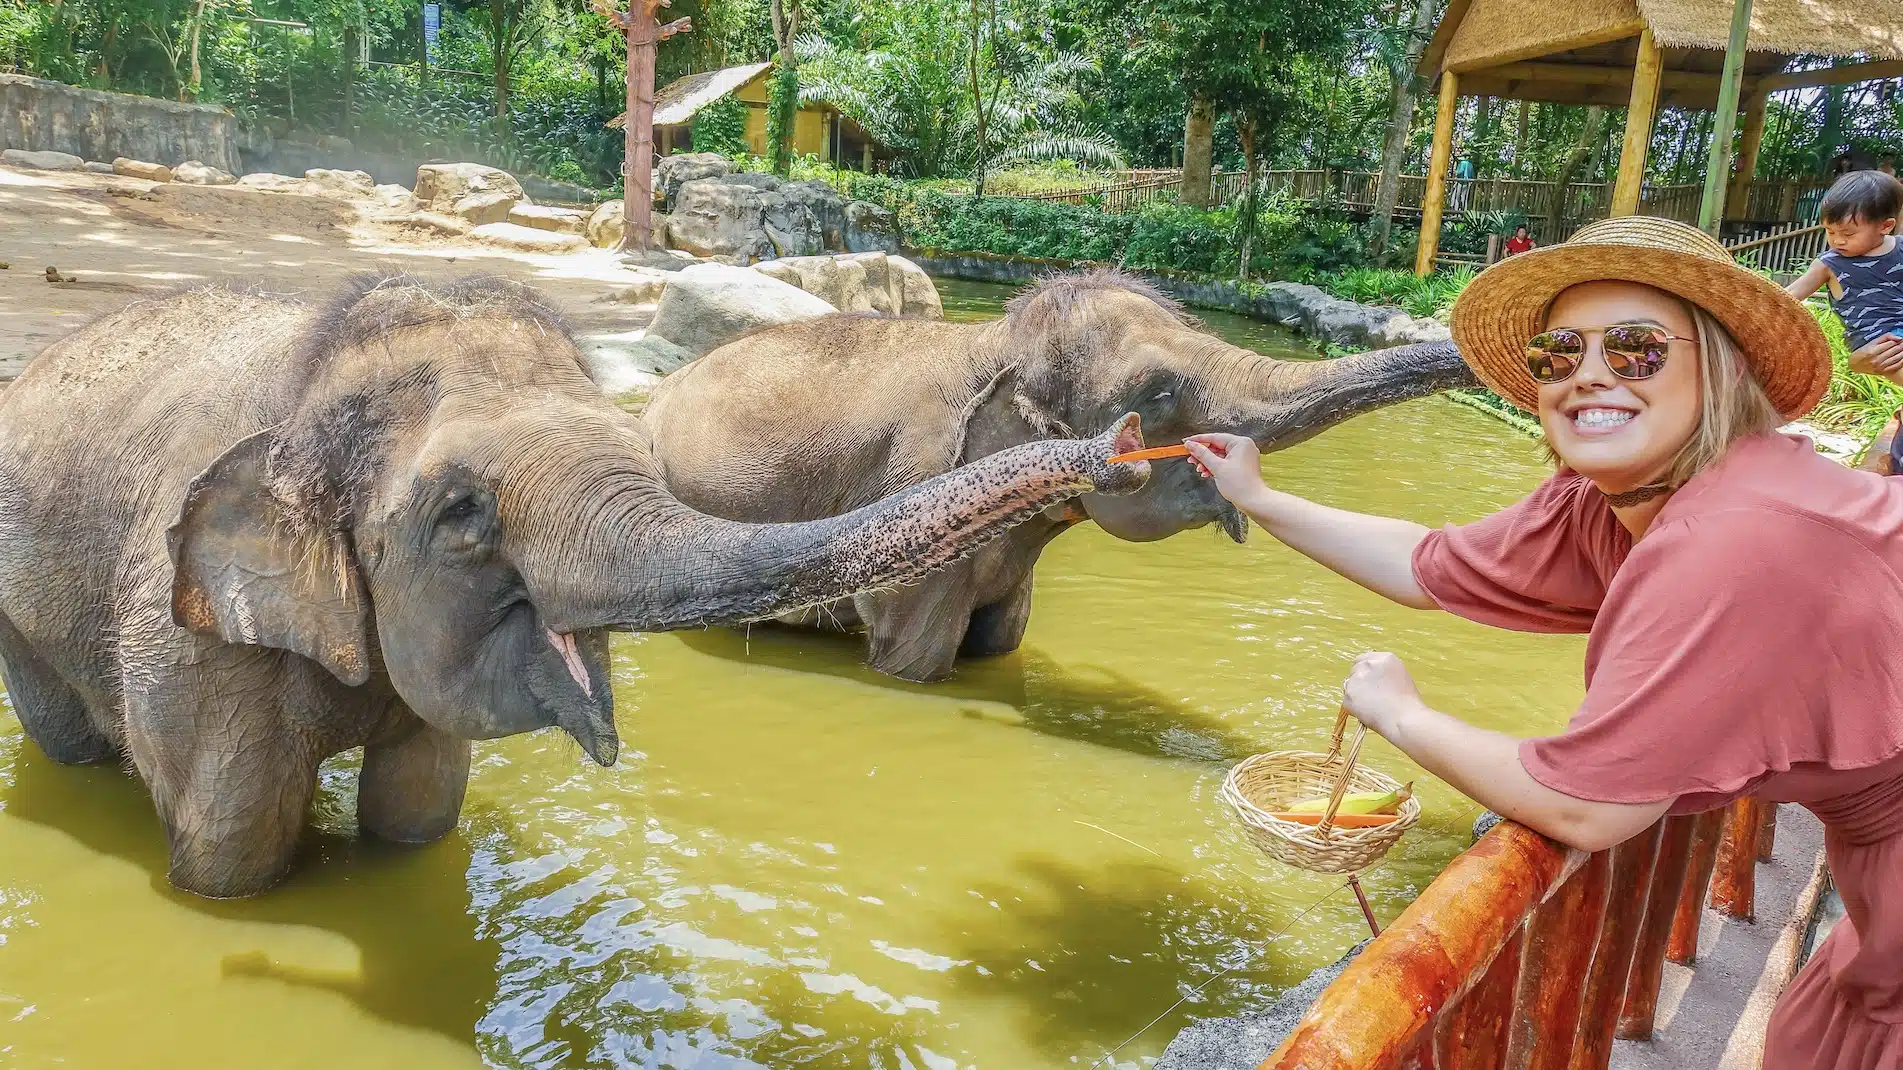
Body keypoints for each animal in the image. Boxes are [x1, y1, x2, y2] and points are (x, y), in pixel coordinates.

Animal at [0, 273, 1151, 898]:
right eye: (463, 513)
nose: (1127, 445)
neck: (307, 388)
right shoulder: (188, 638)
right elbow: (230, 850)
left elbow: (421, 810)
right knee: (73, 739)